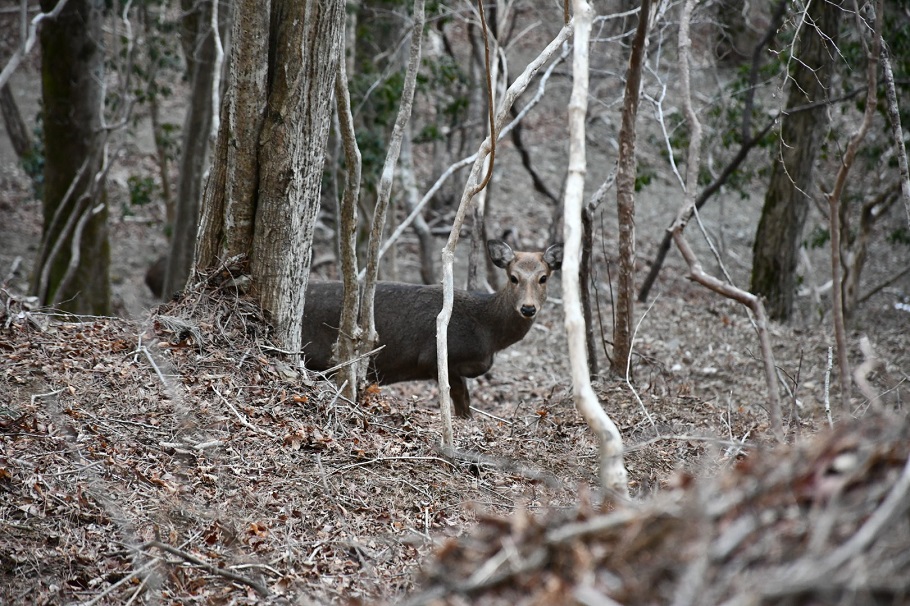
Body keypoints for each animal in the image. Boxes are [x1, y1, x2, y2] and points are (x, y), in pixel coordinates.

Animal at [302, 240, 568, 420]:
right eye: (513, 277)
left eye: (543, 278)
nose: (528, 308)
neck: (489, 334)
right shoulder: (435, 357)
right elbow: (461, 401)